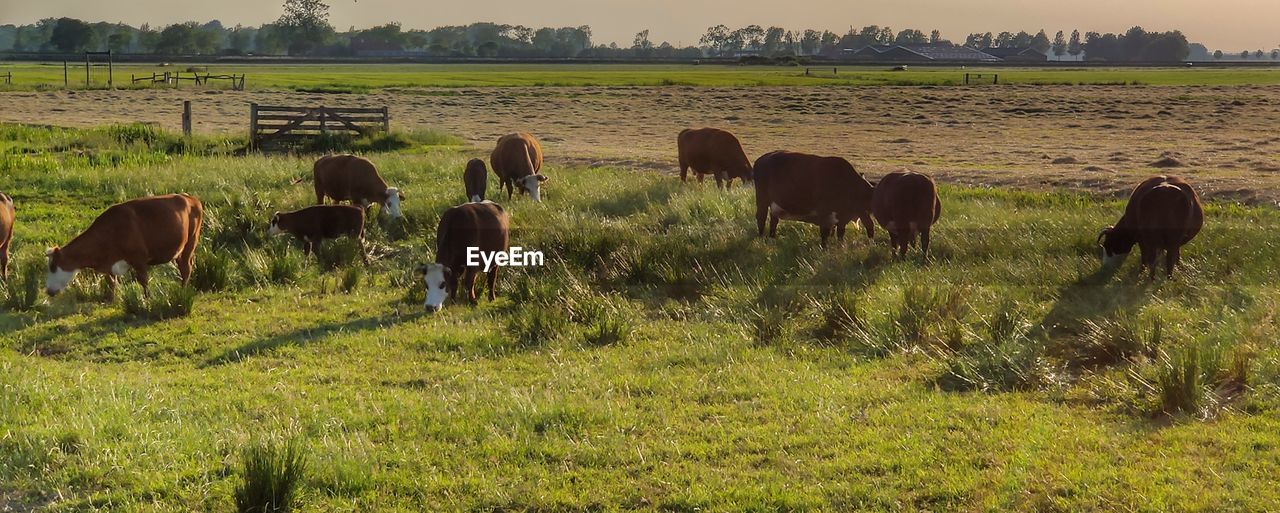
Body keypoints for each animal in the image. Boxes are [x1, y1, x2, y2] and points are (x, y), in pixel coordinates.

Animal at [44, 193, 202, 298]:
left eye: (53, 266)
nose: (48, 291)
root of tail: (189, 197)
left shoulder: (139, 259)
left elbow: (143, 281)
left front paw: (147, 299)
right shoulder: (108, 264)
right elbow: (111, 282)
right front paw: (112, 299)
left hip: (191, 242)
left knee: (186, 268)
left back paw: (183, 290)